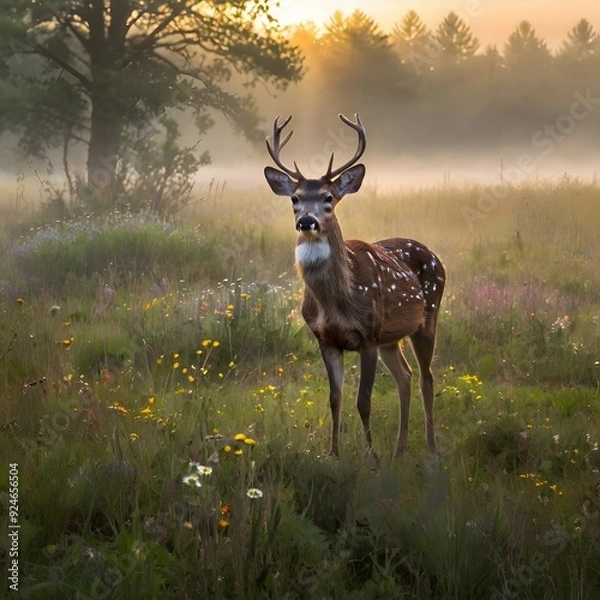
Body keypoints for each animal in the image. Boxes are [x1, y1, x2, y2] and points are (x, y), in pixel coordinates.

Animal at [264, 113, 446, 460]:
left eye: (328, 198)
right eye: (295, 198)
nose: (306, 221)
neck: (336, 303)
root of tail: (435, 256)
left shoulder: (368, 335)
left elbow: (364, 402)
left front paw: (371, 456)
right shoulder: (326, 339)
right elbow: (335, 399)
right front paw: (333, 454)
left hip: (426, 318)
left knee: (426, 377)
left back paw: (431, 449)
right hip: (392, 337)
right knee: (405, 376)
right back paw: (400, 450)